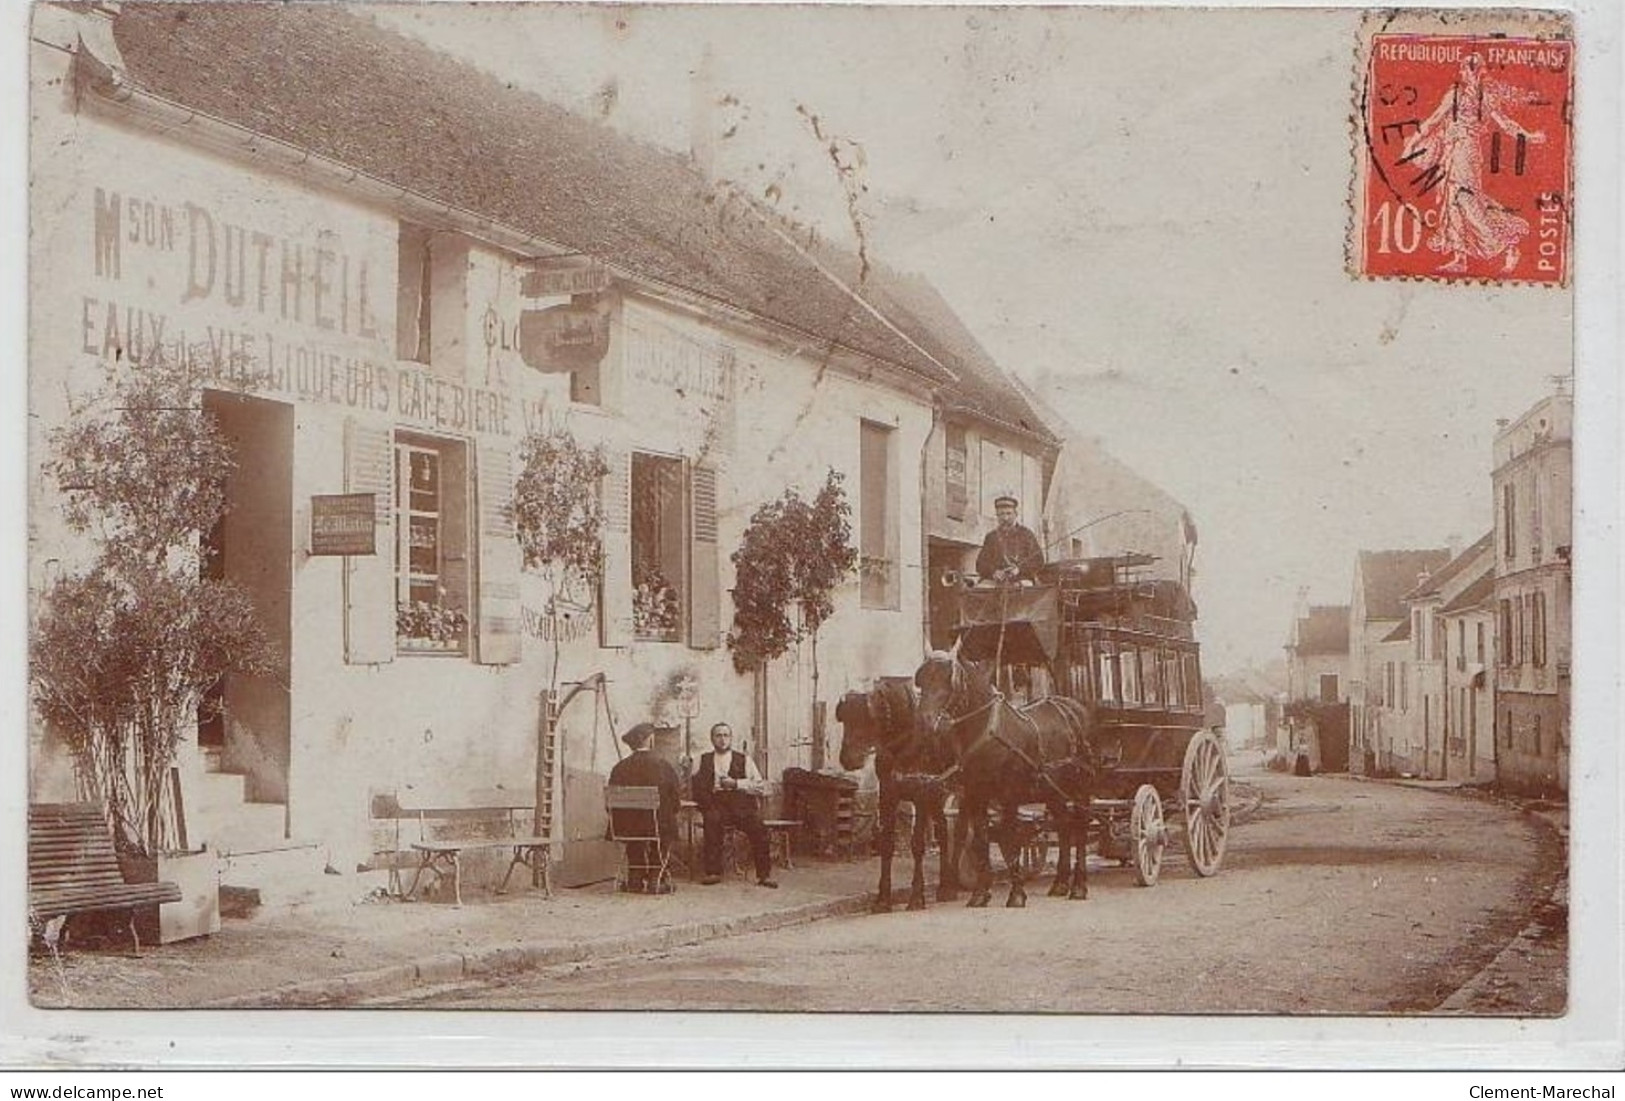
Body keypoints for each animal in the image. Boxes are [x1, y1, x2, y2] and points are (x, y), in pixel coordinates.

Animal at [832, 682, 955, 915]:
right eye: (844, 719)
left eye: (868, 718)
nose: (848, 759)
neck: (903, 743)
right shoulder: (889, 794)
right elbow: (887, 844)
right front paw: (883, 899)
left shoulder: (921, 793)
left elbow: (917, 845)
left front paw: (916, 897)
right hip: (937, 794)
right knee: (944, 831)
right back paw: (946, 887)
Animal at [916, 652, 1092, 909]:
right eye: (921, 679)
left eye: (950, 680)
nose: (925, 722)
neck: (986, 733)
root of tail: (1074, 707)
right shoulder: (975, 795)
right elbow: (980, 840)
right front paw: (980, 894)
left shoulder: (1009, 796)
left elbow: (1010, 840)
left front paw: (1016, 894)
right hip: (1053, 791)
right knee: (1064, 826)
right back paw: (1060, 883)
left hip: (1080, 788)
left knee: (1080, 828)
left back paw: (1079, 886)